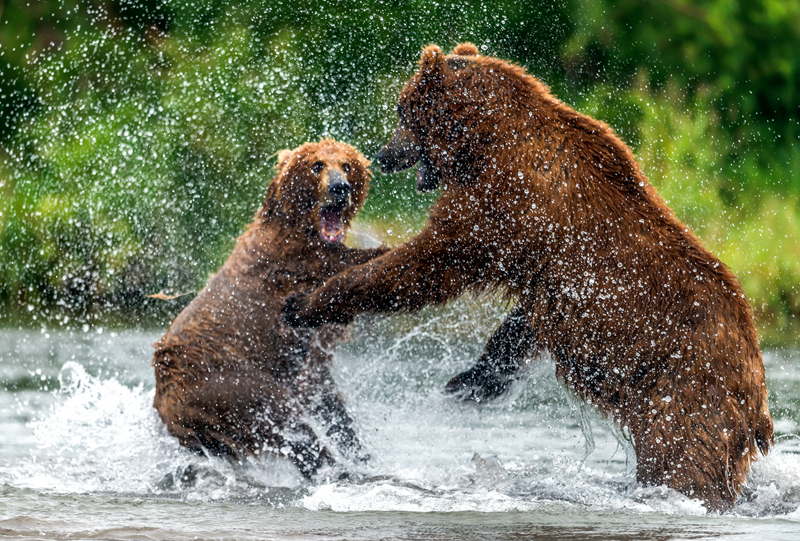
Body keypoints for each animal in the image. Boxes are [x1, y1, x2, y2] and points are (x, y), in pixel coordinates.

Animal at [152, 139, 388, 476]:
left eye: (347, 165)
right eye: (317, 165)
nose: (340, 188)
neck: (302, 229)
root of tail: (166, 404)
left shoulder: (314, 352)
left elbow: (326, 394)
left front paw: (360, 451)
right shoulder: (291, 265)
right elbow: (344, 262)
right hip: (231, 383)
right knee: (288, 423)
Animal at [282, 43, 776, 510]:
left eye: (403, 110)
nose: (383, 155)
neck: (483, 139)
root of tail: (756, 386)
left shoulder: (501, 202)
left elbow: (426, 263)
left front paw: (305, 302)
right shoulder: (543, 270)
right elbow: (523, 323)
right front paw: (472, 382)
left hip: (684, 390)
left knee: (683, 458)